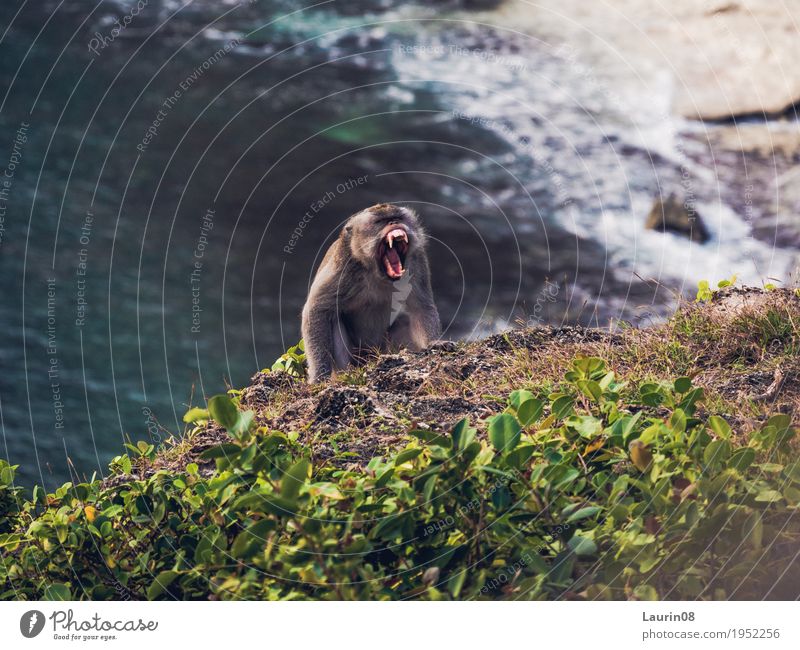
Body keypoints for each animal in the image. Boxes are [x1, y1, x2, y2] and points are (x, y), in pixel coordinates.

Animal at [302, 204, 440, 380]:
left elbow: (421, 307)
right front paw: (319, 374)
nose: (394, 222)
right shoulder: (343, 266)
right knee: (333, 318)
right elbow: (317, 309)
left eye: (397, 217)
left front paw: (436, 345)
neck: (376, 272)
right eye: (380, 221)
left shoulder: (417, 260)